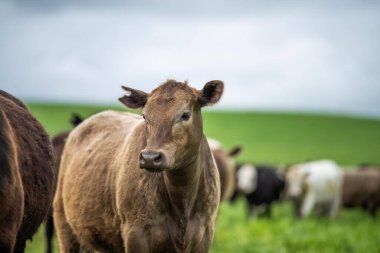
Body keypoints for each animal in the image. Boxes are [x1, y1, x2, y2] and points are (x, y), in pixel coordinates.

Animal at [55, 79, 224, 253]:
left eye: (185, 115)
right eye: (144, 116)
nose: (150, 157)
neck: (182, 203)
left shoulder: (205, 234)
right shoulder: (136, 234)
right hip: (65, 225)